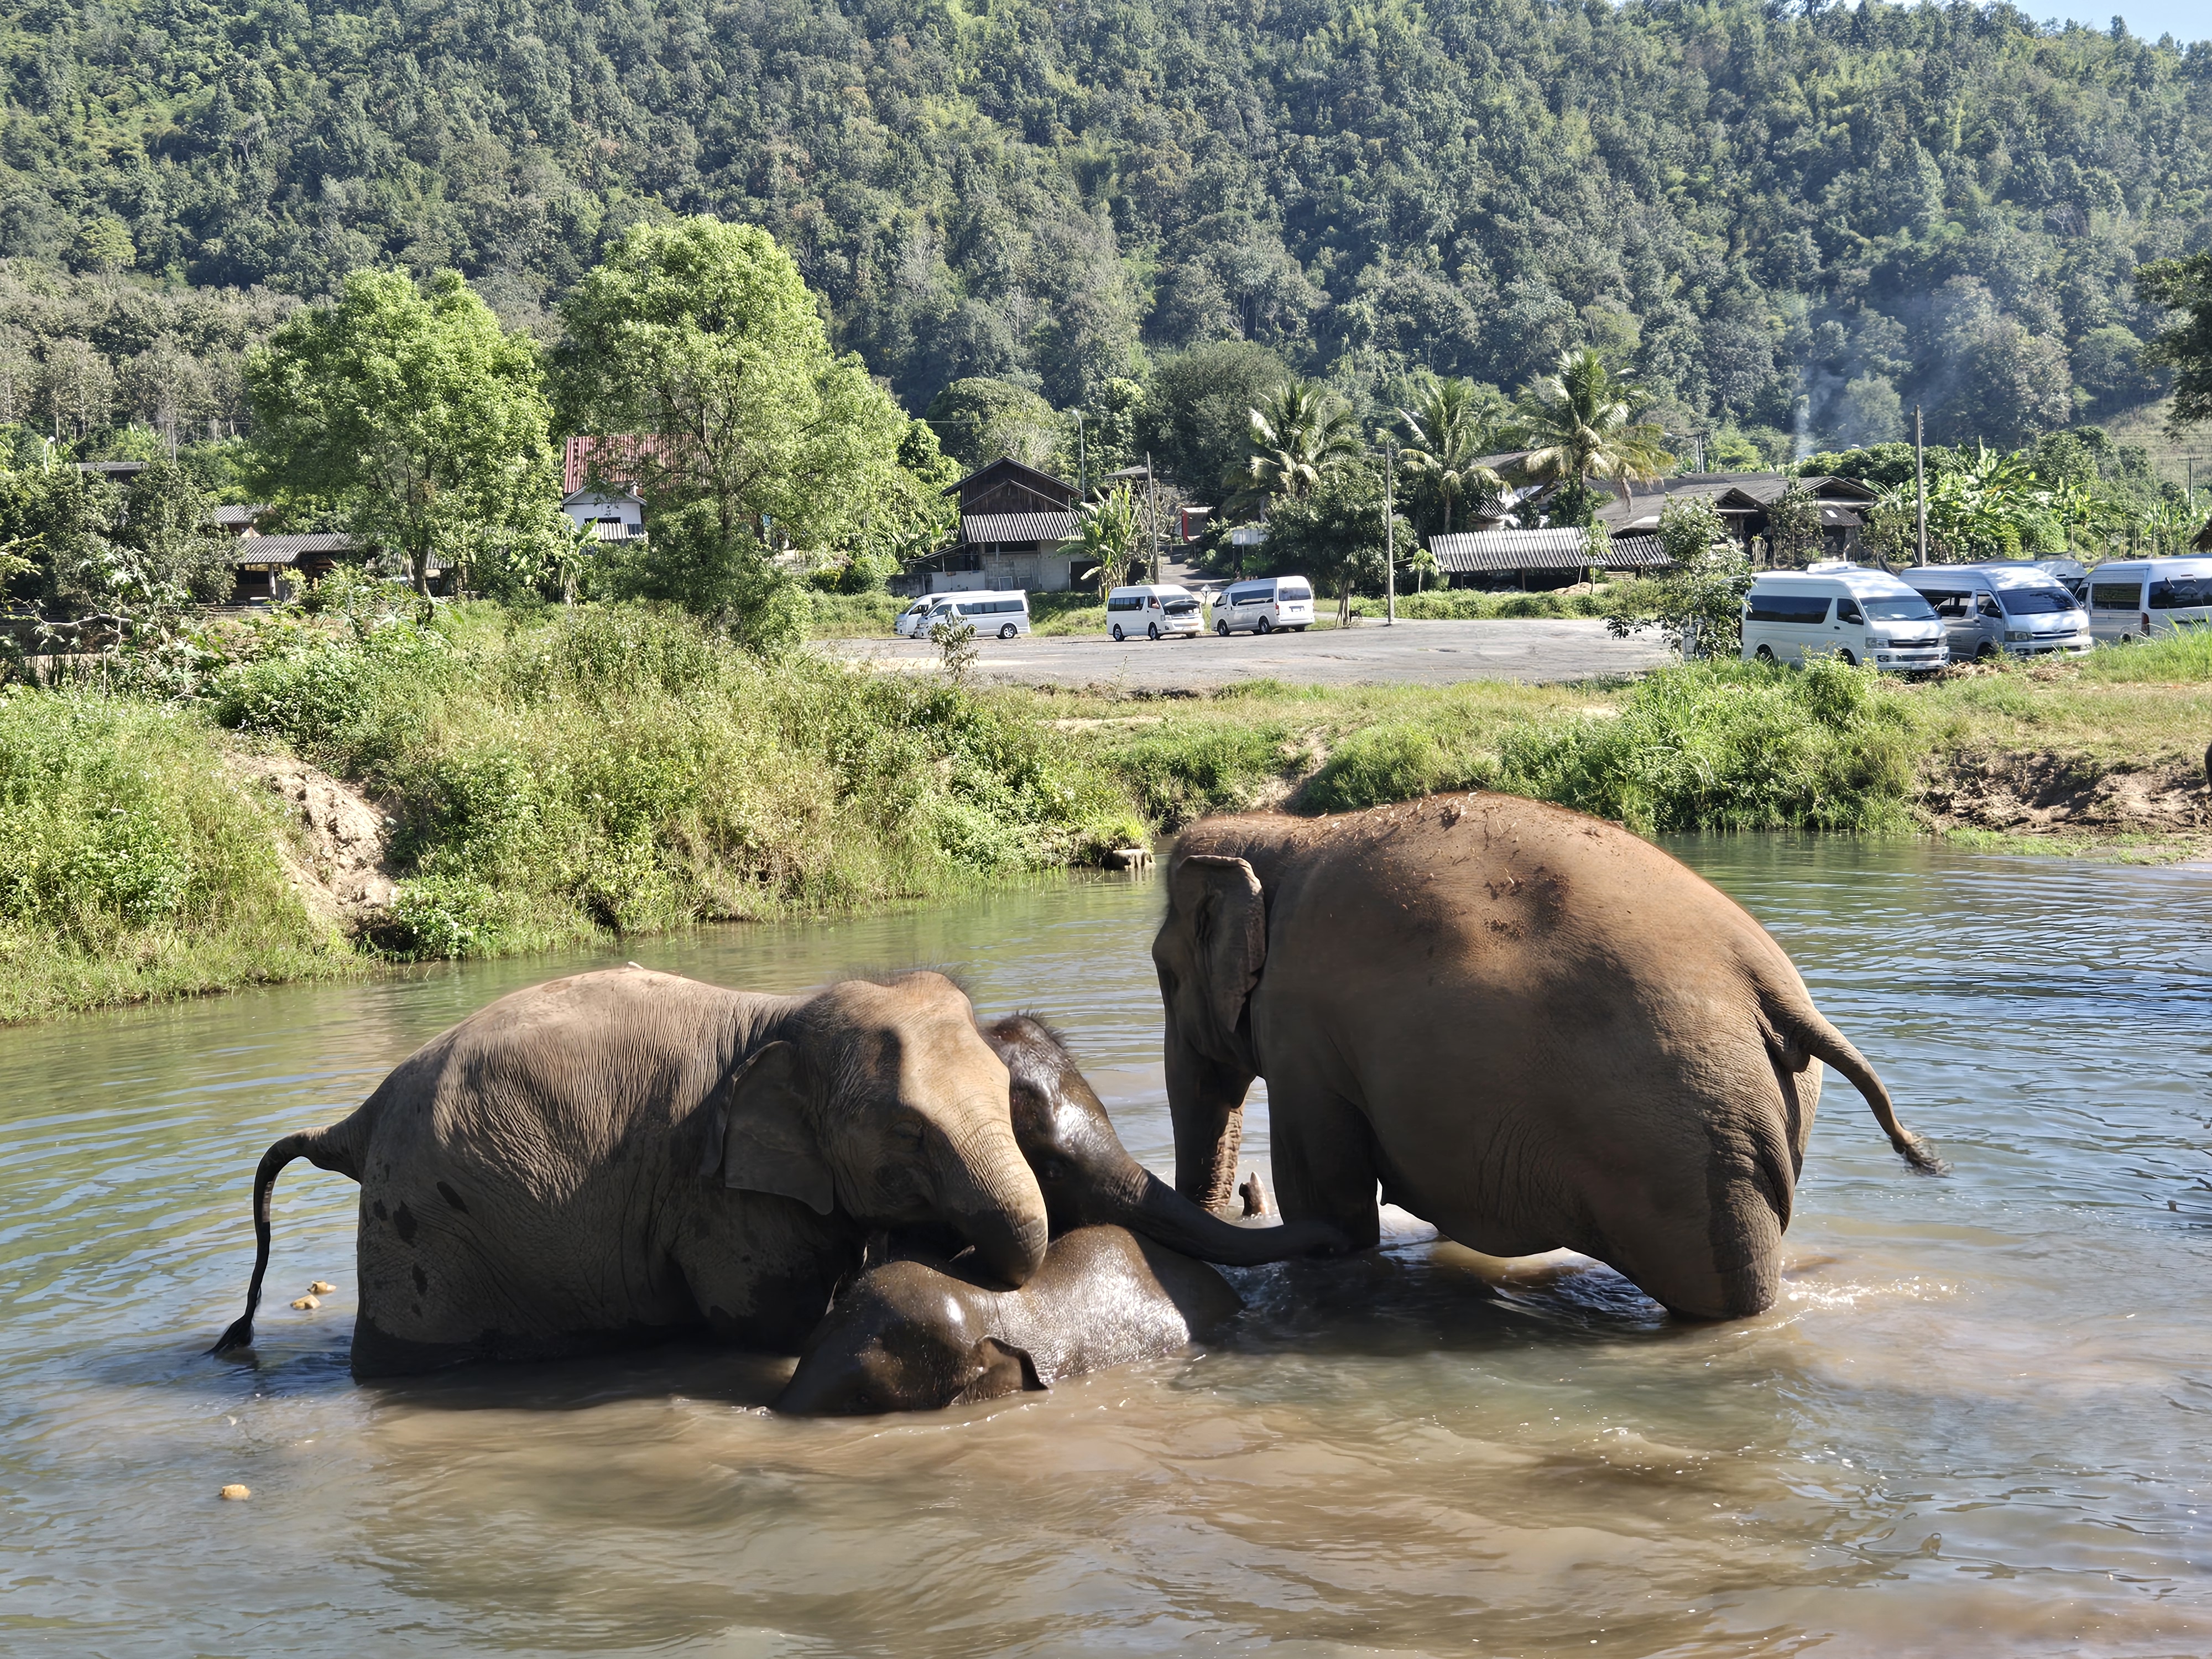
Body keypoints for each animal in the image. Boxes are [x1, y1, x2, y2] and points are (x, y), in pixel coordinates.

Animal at [209, 967, 1050, 1378]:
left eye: (1008, 1093)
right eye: (909, 1134)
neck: (782, 1016)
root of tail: (360, 1117)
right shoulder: (717, 1197)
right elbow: (766, 1324)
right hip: (416, 1231)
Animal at [1153, 794, 1942, 1322]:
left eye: (1163, 972)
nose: (1241, 1196)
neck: (1282, 834)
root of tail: (1774, 989)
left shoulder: (1301, 1034)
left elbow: (1327, 1203)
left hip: (1690, 1145)